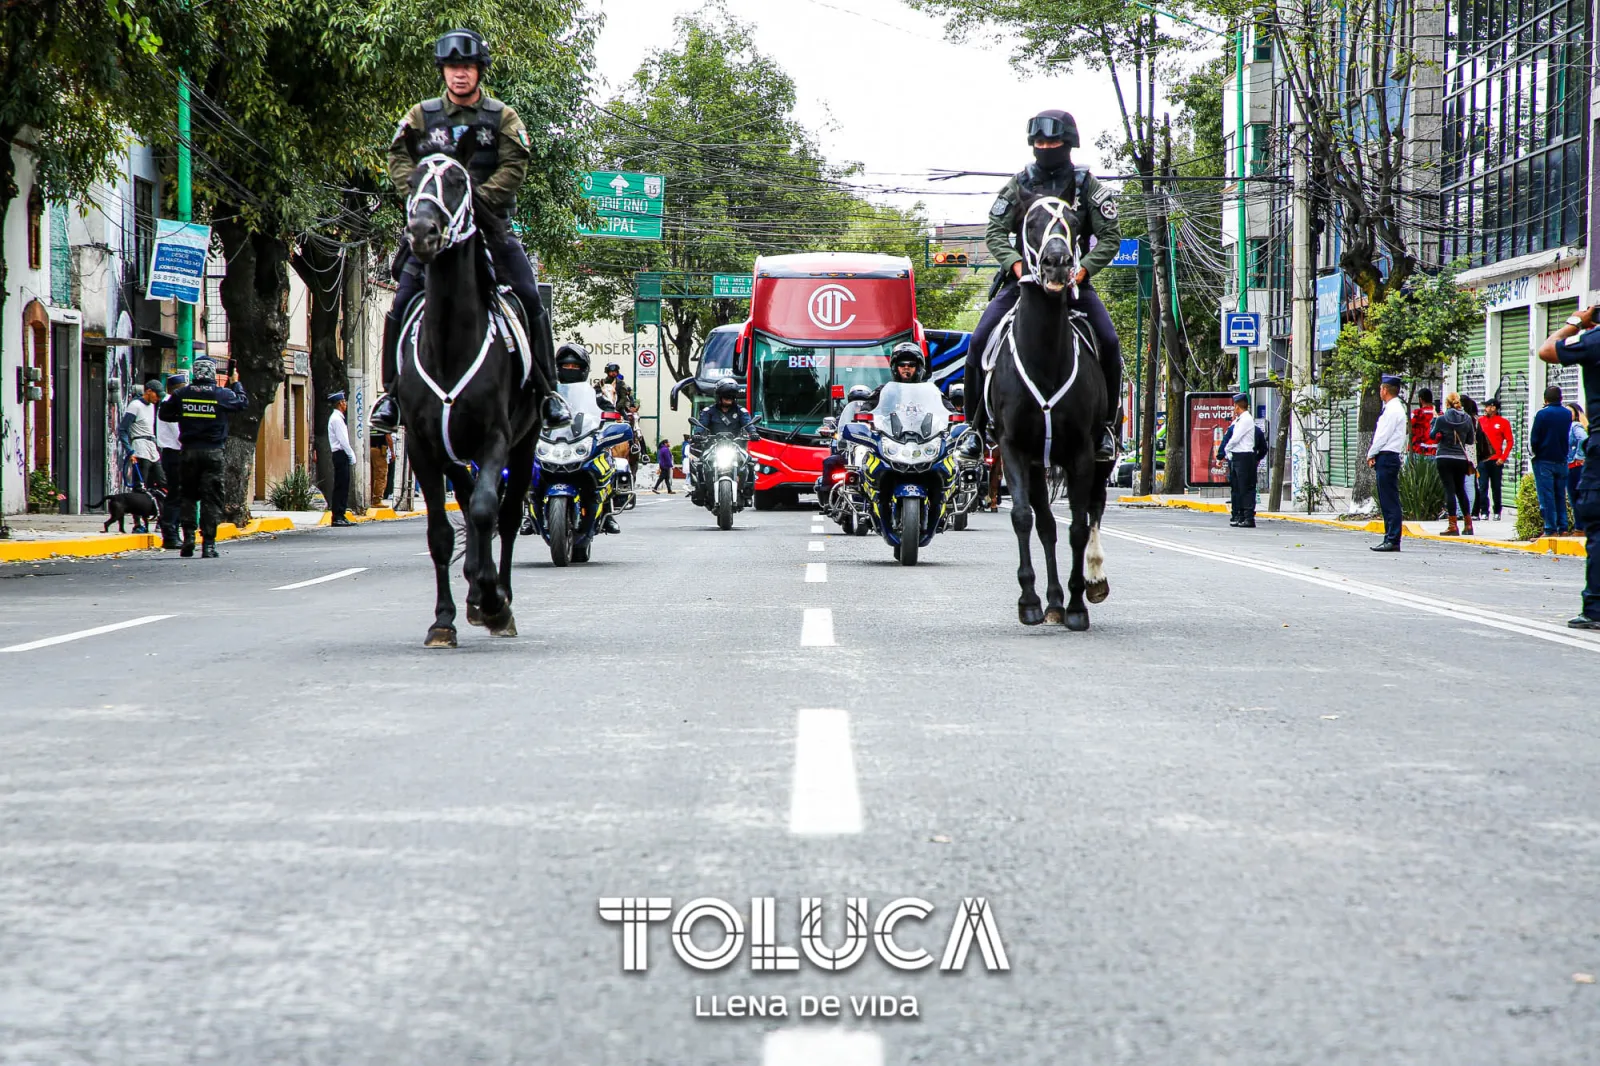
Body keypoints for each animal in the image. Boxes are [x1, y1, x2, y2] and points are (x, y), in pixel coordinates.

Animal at [393, 133, 556, 646]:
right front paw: (444, 618)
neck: (450, 342)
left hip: (524, 444)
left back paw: (496, 595)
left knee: (505, 515)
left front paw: (493, 599)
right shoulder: (423, 446)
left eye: (457, 181)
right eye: (413, 179)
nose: (422, 232)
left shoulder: (496, 439)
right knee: (465, 503)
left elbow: (489, 511)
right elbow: (442, 533)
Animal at [985, 191, 1113, 627]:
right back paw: (1052, 600)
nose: (1057, 262)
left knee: (1092, 510)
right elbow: (1025, 518)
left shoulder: (1082, 453)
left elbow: (1078, 526)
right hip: (1037, 462)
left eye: (1073, 221)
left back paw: (1090, 582)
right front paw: (1030, 600)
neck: (1044, 356)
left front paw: (1077, 603)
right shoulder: (1013, 449)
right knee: (1044, 524)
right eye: (1031, 221)